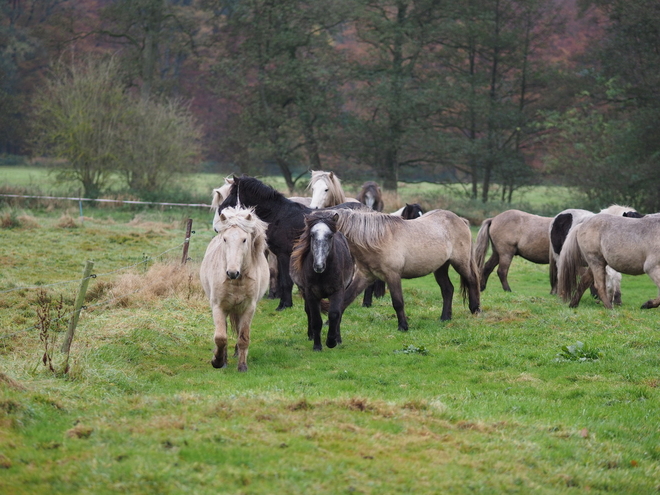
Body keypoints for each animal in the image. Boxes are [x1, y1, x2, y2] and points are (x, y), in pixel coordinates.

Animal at [197, 205, 270, 372]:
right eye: (225, 239)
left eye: (244, 239)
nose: (232, 272)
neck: (236, 282)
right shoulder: (218, 307)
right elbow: (220, 337)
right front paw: (217, 361)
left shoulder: (248, 308)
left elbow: (243, 337)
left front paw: (242, 366)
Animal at [215, 176, 360, 312]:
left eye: (233, 192)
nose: (221, 209)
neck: (279, 214)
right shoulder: (281, 256)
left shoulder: (284, 255)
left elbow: (286, 281)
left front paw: (284, 305)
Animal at [290, 211, 356, 350]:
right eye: (312, 235)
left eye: (330, 236)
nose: (318, 266)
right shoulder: (311, 293)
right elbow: (316, 319)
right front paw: (317, 346)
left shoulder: (337, 291)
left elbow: (335, 314)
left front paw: (332, 341)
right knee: (308, 312)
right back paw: (311, 335)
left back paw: (338, 339)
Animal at [328, 207, 480, 332]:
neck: (378, 238)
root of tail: (460, 220)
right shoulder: (365, 276)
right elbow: (347, 298)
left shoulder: (392, 275)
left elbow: (398, 302)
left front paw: (403, 326)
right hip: (441, 267)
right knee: (448, 289)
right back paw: (445, 318)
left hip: (460, 263)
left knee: (472, 280)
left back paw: (475, 309)